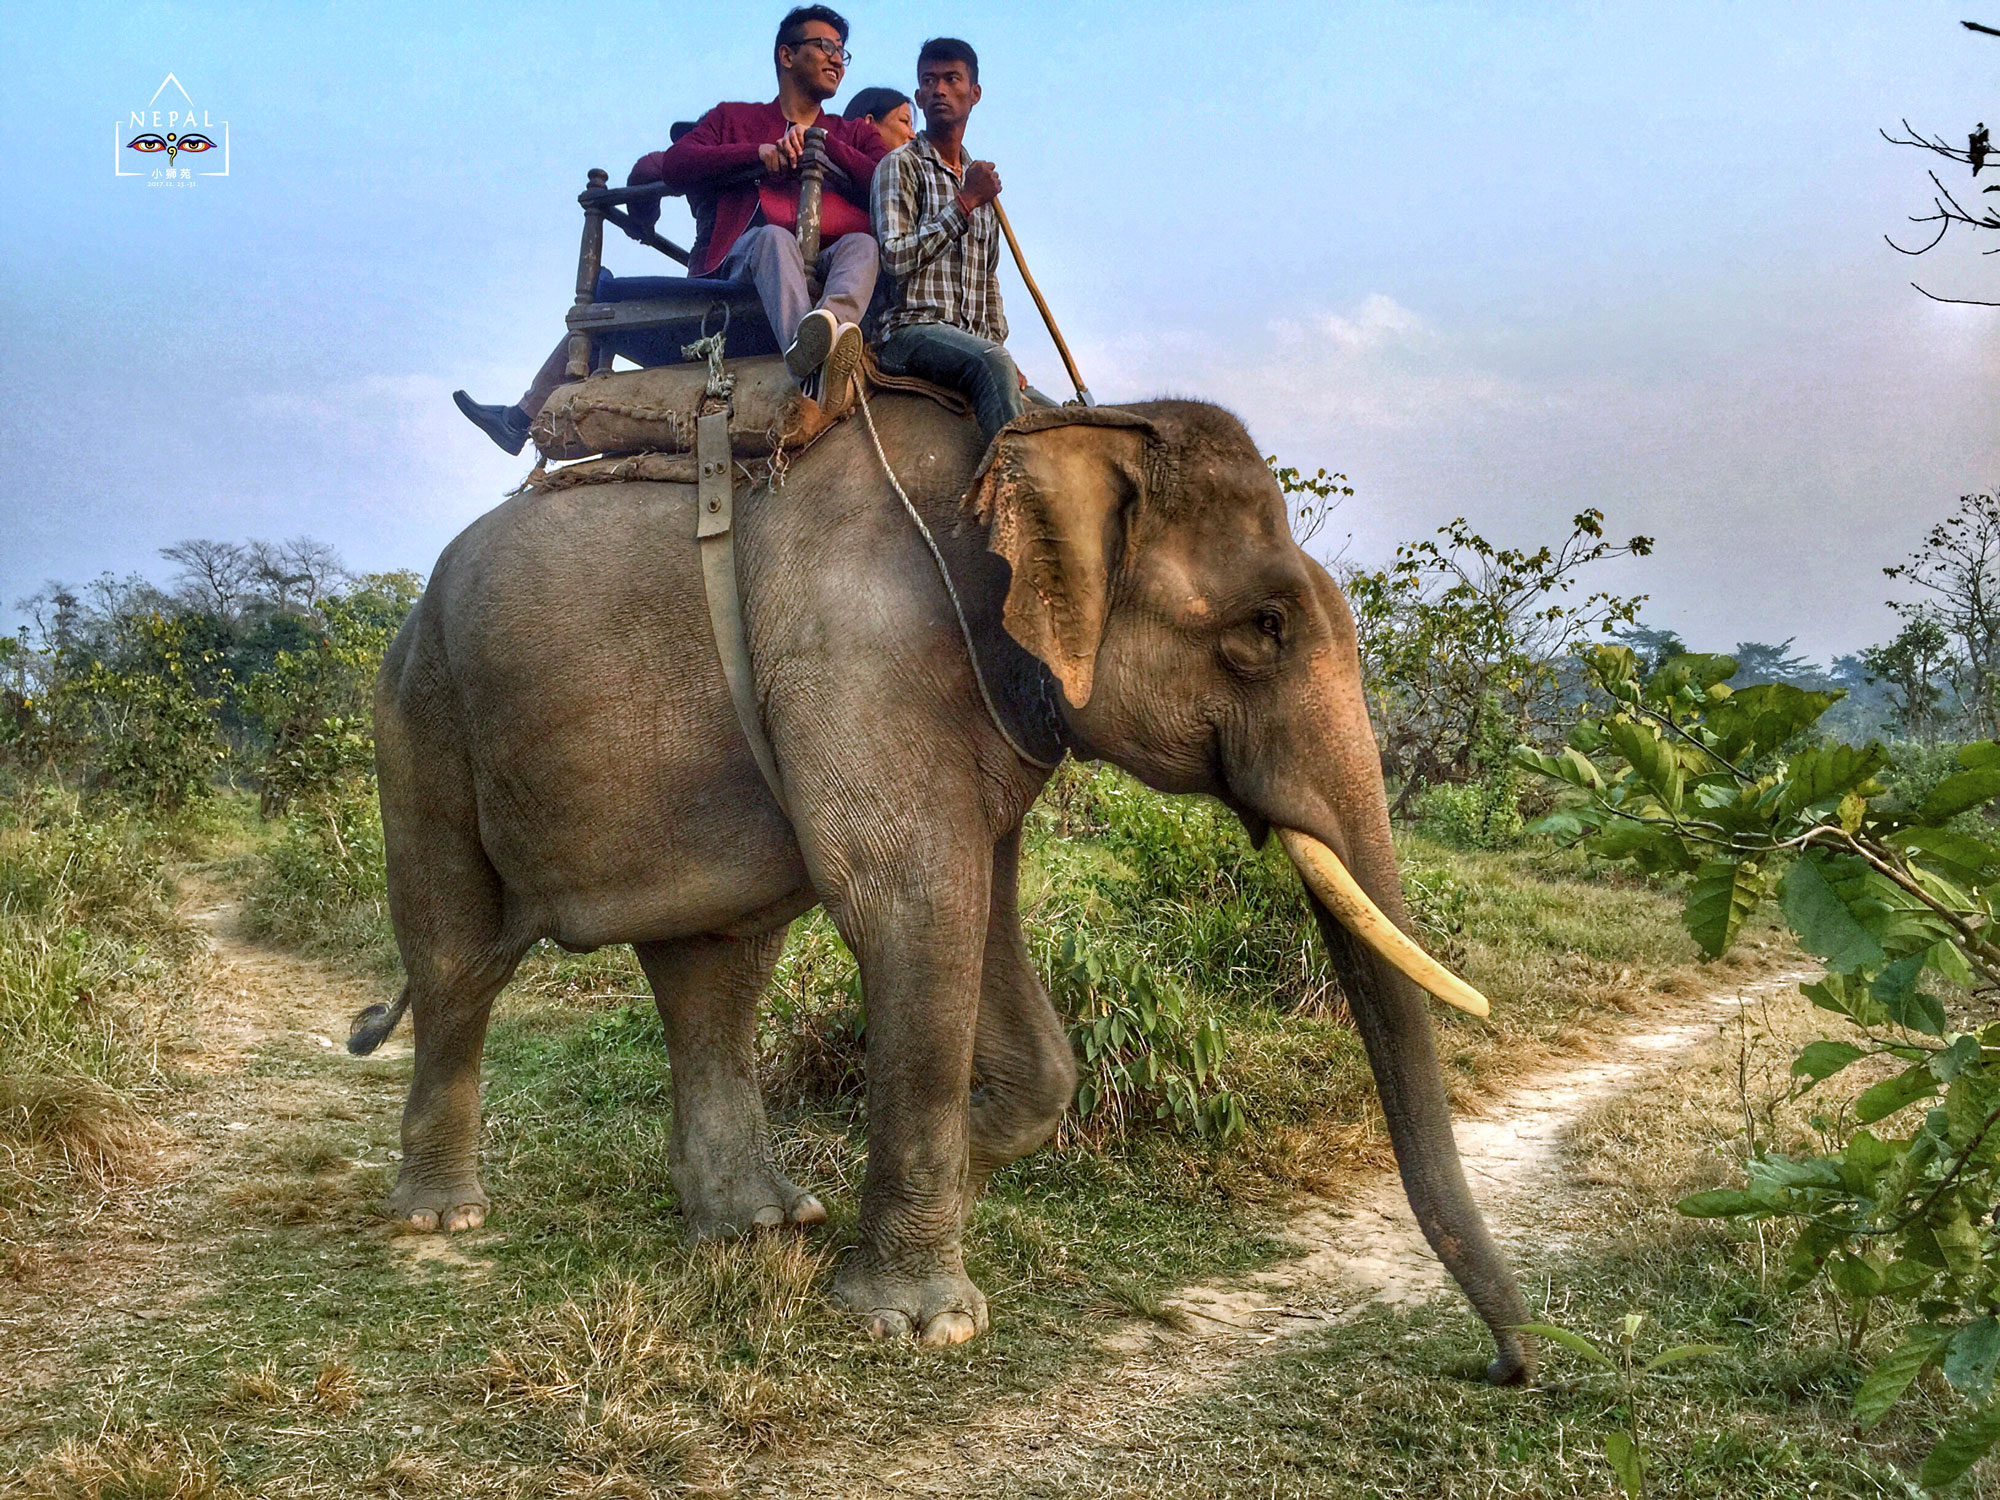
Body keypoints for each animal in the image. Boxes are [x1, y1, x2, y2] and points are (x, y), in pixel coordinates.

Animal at [360, 390, 1536, 1384]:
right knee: (461, 959)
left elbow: (987, 924)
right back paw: (442, 1220)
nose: (1503, 1368)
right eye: (1263, 629)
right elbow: (913, 901)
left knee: (716, 969)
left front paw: (931, 1190)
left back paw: (758, 1225)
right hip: (420, 714)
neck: (1045, 435)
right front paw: (920, 1321)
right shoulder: (864, 655)